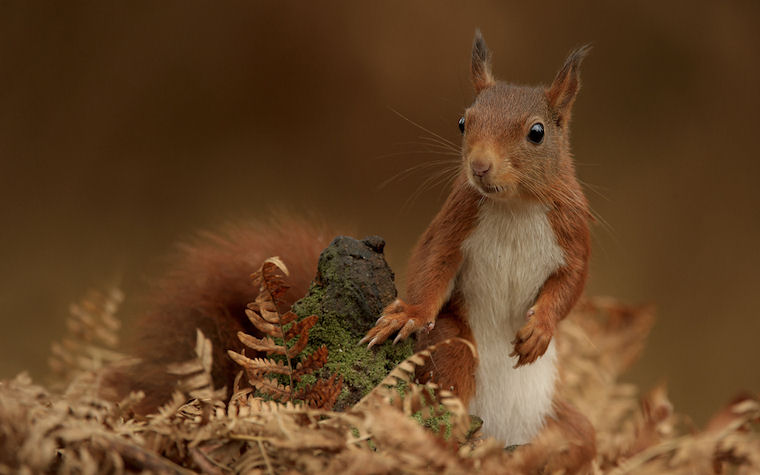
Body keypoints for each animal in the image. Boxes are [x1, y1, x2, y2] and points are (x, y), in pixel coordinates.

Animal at [362, 30, 592, 450]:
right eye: (462, 122)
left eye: (537, 132)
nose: (480, 166)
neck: (515, 205)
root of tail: (503, 430)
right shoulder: (456, 220)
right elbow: (433, 263)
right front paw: (409, 314)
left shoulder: (573, 233)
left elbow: (570, 286)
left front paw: (540, 329)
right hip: (455, 344)